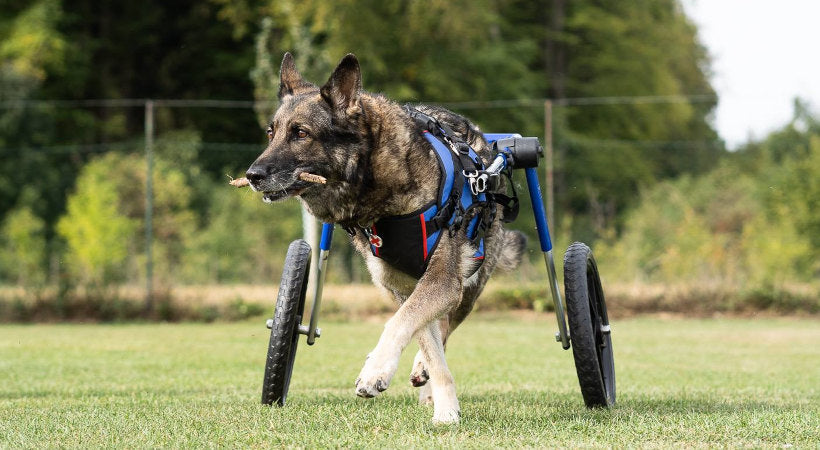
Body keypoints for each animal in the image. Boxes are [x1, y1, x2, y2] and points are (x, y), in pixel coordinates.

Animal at [245, 53, 524, 426]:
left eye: (300, 133)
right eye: (271, 132)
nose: (252, 175)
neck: (377, 183)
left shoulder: (441, 281)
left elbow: (402, 323)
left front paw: (376, 371)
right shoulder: (402, 287)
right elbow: (424, 339)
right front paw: (446, 408)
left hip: (470, 284)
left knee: (446, 323)